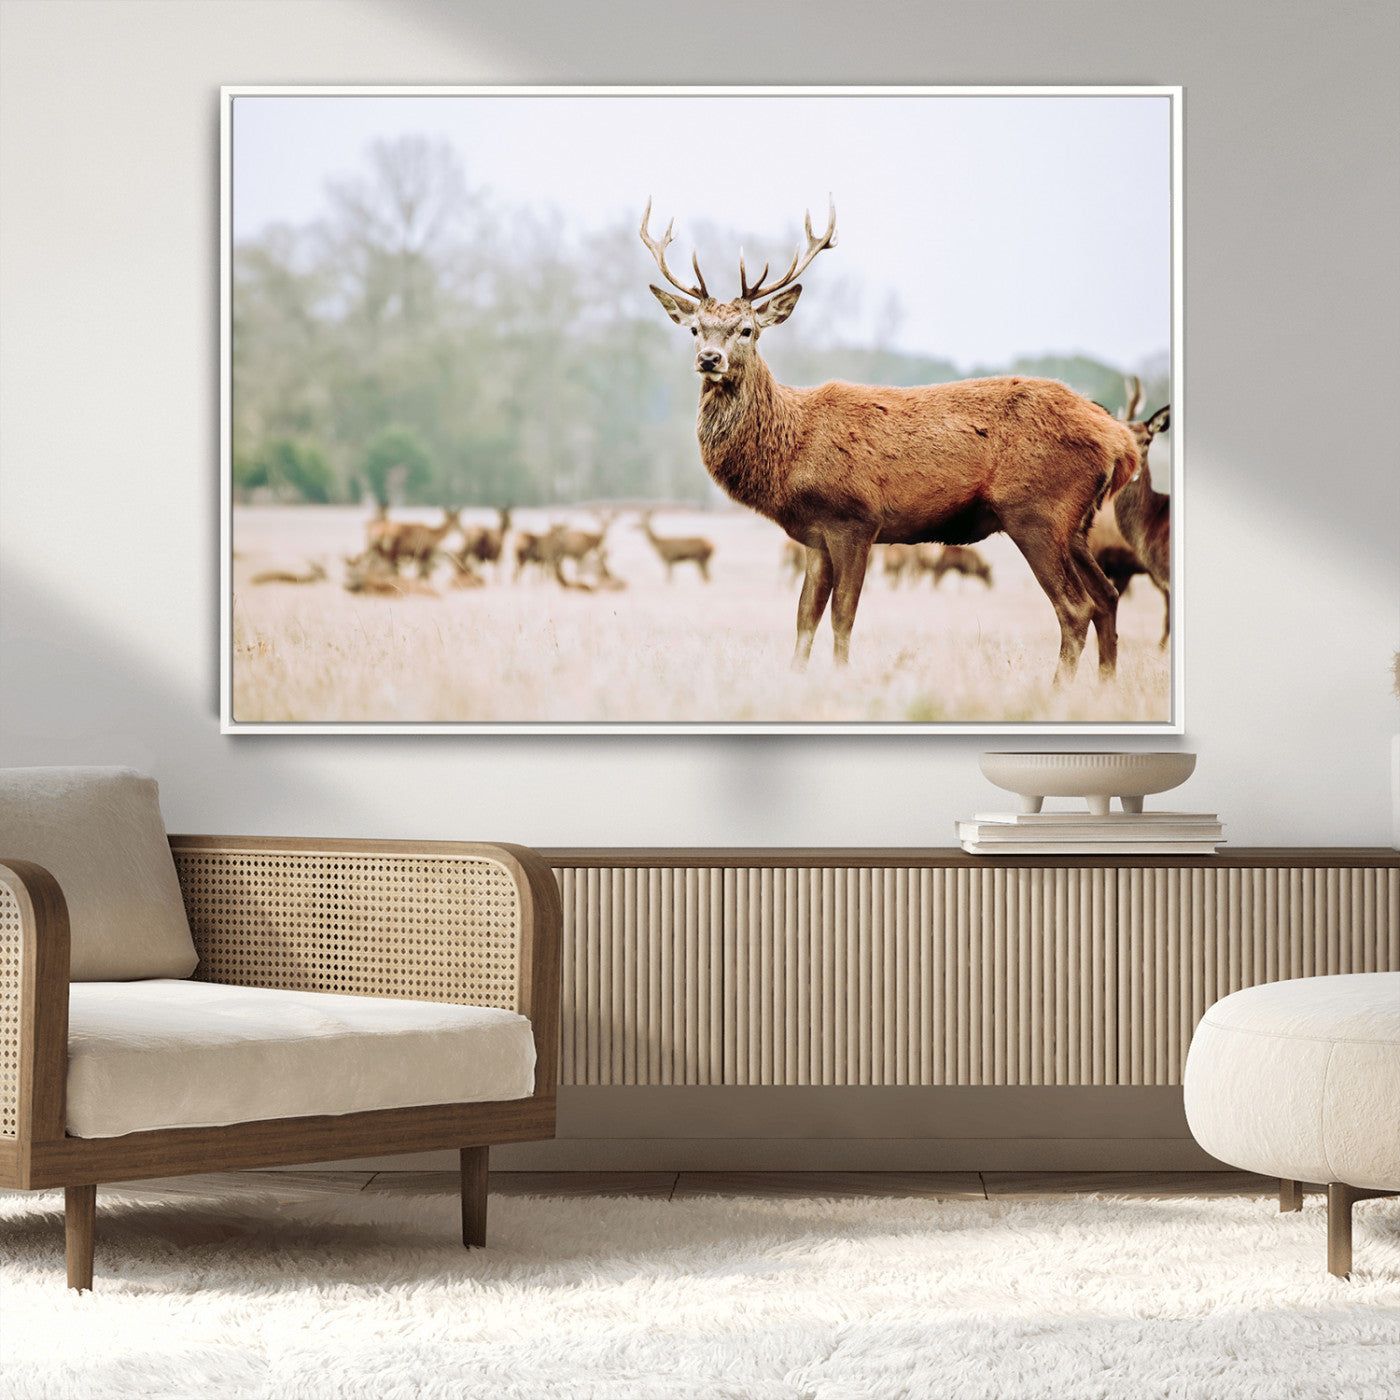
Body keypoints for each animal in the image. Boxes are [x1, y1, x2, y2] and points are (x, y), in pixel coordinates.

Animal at [641, 200, 1139, 680]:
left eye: (747, 330)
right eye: (694, 329)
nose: (709, 359)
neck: (791, 450)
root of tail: (1121, 442)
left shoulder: (855, 518)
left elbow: (843, 615)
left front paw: (842, 676)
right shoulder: (815, 534)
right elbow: (804, 616)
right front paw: (795, 677)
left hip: (1037, 511)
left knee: (1075, 607)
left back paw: (1060, 690)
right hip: (1077, 523)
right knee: (1108, 597)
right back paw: (1105, 687)